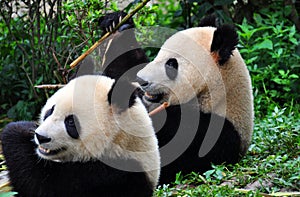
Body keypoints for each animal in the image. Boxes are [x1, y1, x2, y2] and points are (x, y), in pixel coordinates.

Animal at [1, 74, 161, 196]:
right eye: (50, 111)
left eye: (71, 122)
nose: (41, 137)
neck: (119, 140)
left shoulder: (110, 176)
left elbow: (42, 184)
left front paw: (15, 130)